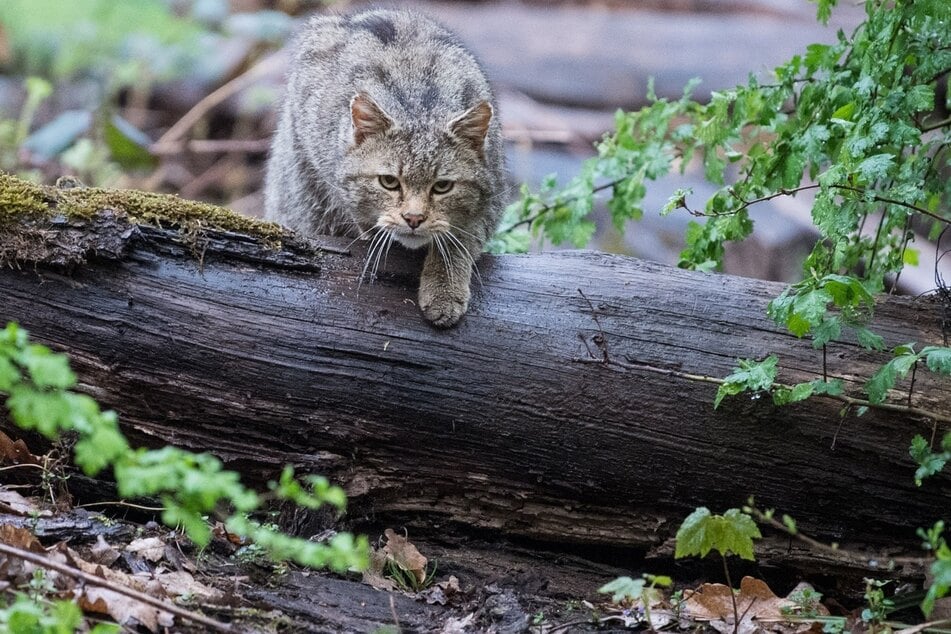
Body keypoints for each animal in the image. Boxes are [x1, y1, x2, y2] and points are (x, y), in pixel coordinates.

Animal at [262, 8, 506, 326]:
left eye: (442, 186)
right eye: (389, 182)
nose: (414, 218)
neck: (418, 105)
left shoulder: (493, 198)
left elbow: (459, 241)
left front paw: (444, 289)